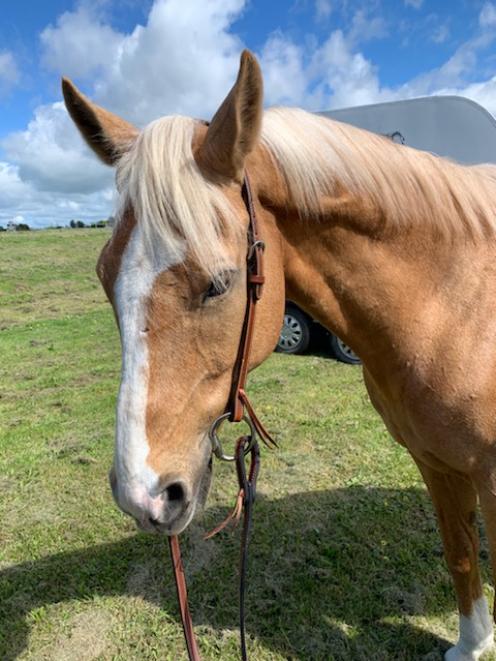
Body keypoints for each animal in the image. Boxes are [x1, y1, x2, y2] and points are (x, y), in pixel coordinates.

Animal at [64, 52, 496, 660]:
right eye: (104, 277)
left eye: (219, 284)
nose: (141, 496)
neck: (455, 305)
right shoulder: (435, 462)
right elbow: (460, 553)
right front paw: (473, 642)